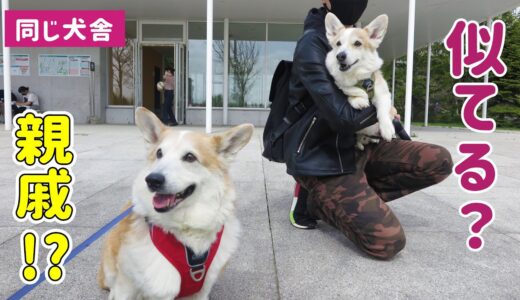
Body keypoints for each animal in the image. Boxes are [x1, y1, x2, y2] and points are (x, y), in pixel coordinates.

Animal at [98, 107, 255, 298]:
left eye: (190, 157)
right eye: (159, 153)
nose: (152, 180)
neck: (186, 228)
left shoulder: (202, 290)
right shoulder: (138, 284)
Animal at [328, 13, 396, 150]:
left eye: (357, 43)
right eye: (338, 43)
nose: (340, 56)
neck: (357, 75)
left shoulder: (383, 93)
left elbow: (383, 109)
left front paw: (387, 129)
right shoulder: (342, 85)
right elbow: (351, 91)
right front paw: (359, 100)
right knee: (360, 139)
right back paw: (360, 144)